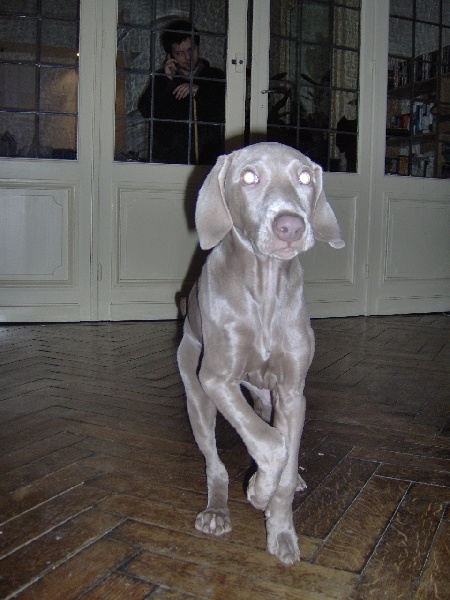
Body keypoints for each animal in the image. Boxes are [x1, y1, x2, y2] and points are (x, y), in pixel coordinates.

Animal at [177, 143, 344, 564]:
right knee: (215, 462)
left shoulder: (292, 393)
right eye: (249, 177)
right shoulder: (216, 378)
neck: (265, 282)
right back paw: (217, 511)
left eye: (305, 177)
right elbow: (269, 443)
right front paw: (256, 490)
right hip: (196, 392)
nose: (291, 226)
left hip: (267, 396)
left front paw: (281, 529)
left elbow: (284, 450)